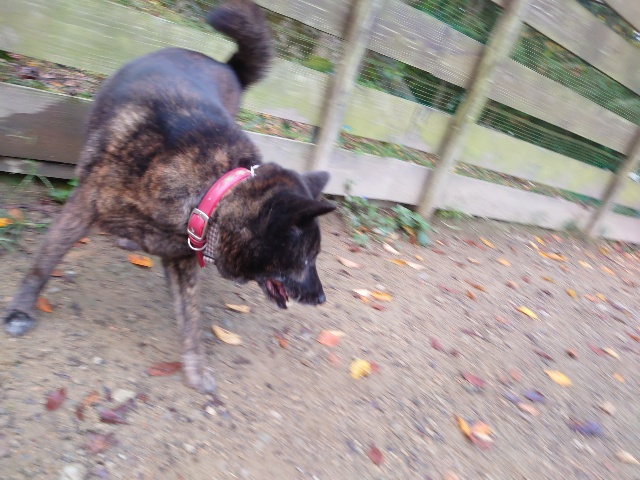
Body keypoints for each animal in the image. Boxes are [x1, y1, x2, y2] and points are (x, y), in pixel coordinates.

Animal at [3, 0, 336, 393]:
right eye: (305, 260)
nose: (321, 298)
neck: (212, 191)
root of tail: (225, 64)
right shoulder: (83, 208)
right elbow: (43, 262)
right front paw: (20, 309)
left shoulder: (183, 259)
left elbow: (190, 317)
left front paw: (195, 367)